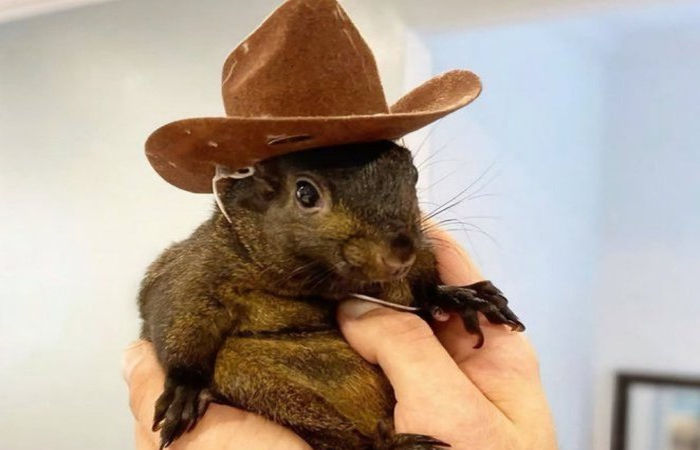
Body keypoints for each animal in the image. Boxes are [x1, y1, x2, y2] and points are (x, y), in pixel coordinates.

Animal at [138, 140, 524, 450]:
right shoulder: (196, 270)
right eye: (305, 193)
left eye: (413, 174)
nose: (401, 253)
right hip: (251, 376)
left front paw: (459, 296)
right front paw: (184, 388)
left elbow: (424, 290)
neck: (321, 284)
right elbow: (175, 313)